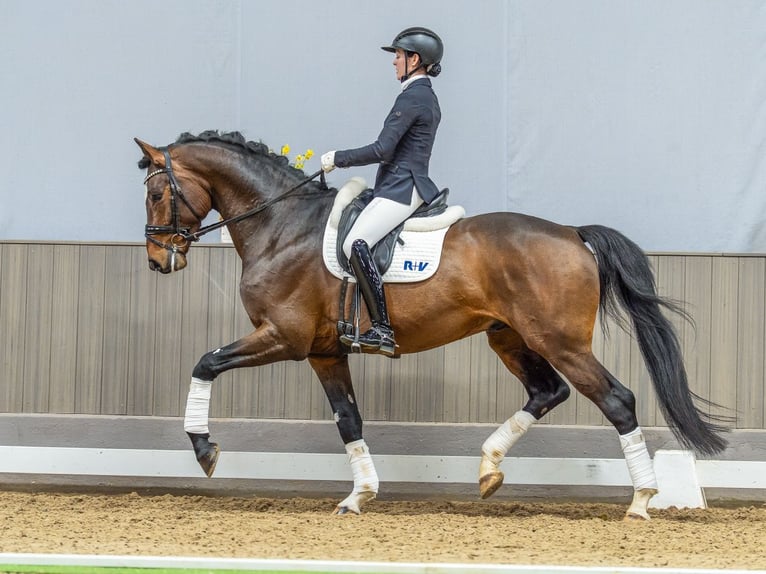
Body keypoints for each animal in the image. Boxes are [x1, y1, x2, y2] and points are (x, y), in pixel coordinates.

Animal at [135, 130, 727, 520]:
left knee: (617, 400)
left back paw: (641, 501)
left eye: (157, 193)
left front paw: (204, 449)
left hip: (559, 341)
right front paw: (359, 496)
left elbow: (205, 362)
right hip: (508, 336)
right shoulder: (325, 351)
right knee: (547, 391)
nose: (158, 261)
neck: (283, 226)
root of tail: (572, 233)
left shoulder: (284, 337)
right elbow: (349, 420)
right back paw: (488, 469)